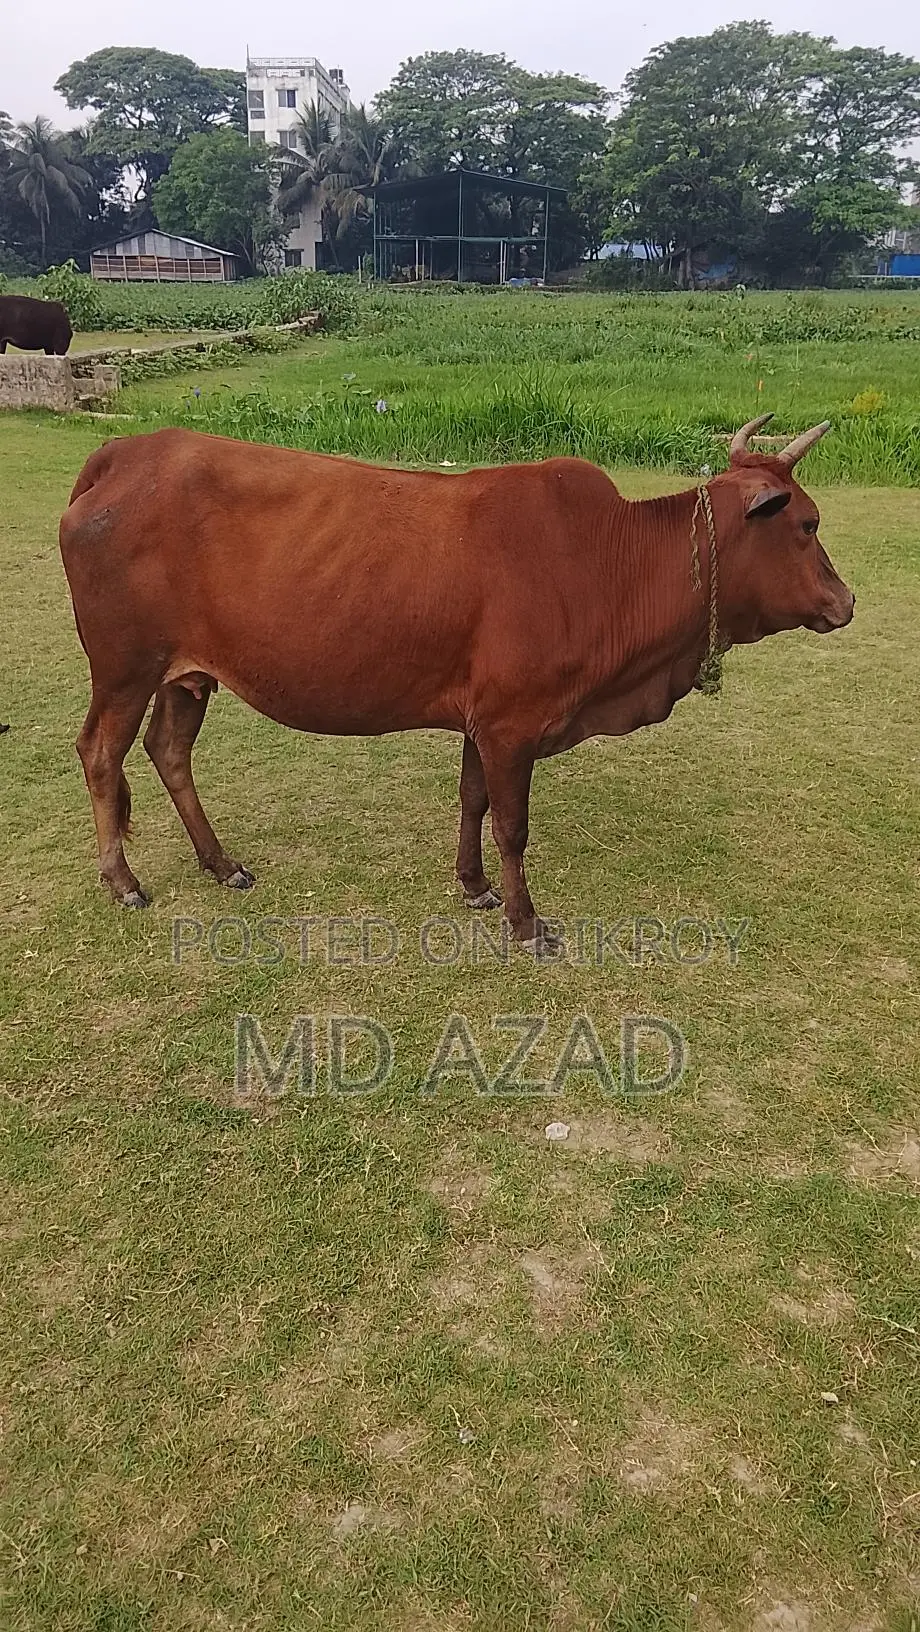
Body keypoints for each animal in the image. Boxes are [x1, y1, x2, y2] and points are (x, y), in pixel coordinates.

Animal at [59, 415, 854, 953]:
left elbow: (473, 801)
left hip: (185, 674)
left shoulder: (484, 720)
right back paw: (122, 880)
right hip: (125, 667)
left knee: (169, 751)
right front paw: (526, 922)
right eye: (809, 525)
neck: (607, 562)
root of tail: (122, 452)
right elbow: (512, 825)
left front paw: (474, 886)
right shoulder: (512, 724)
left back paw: (221, 864)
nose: (847, 602)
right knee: (101, 753)